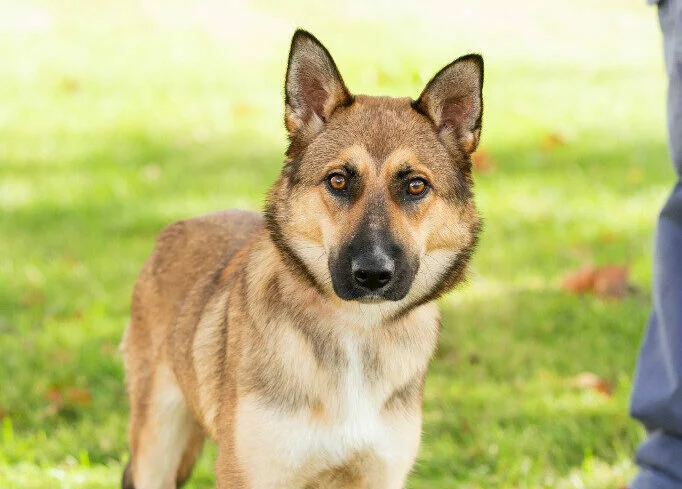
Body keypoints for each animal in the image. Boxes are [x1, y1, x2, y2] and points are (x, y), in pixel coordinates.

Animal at [122, 28, 484, 486]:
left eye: (416, 186)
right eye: (338, 180)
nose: (372, 274)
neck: (356, 331)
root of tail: (177, 227)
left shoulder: (380, 473)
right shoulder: (250, 473)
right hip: (156, 444)